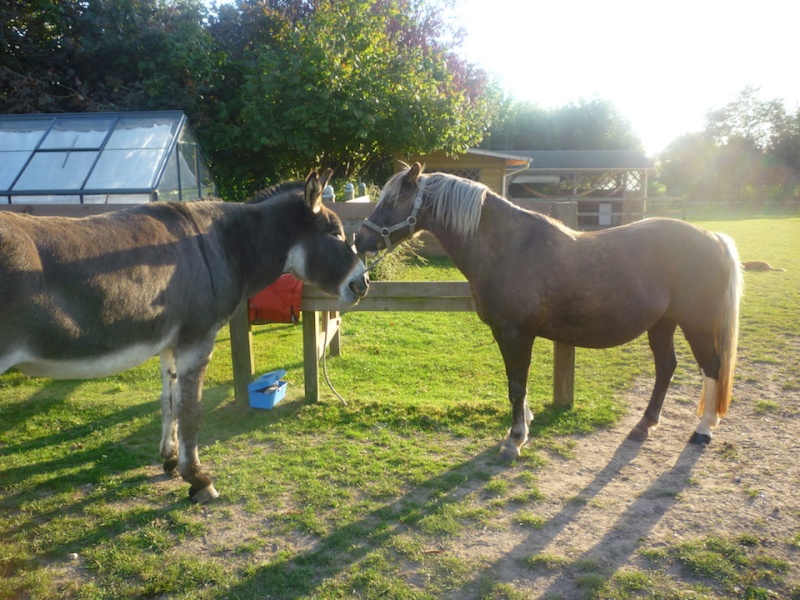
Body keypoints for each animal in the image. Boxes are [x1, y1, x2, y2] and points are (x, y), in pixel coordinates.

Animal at [356, 164, 744, 460]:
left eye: (393, 200)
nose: (361, 239)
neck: (509, 247)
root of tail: (713, 238)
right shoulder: (502, 332)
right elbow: (516, 382)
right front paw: (524, 424)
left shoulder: (517, 333)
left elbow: (516, 384)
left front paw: (514, 440)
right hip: (662, 324)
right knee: (666, 367)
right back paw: (644, 425)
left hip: (696, 324)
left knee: (712, 367)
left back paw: (703, 430)